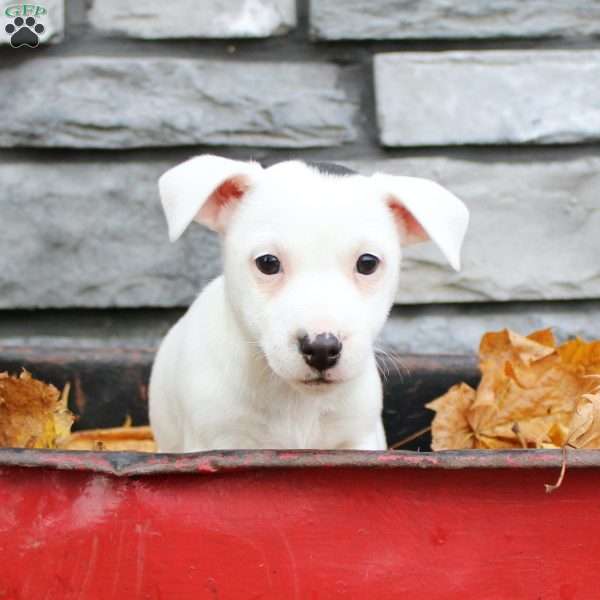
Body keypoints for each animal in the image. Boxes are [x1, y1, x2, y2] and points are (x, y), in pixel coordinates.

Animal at [150, 155, 468, 450]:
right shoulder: (218, 439)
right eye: (267, 263)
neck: (295, 400)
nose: (321, 349)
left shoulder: (359, 439)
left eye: (367, 263)